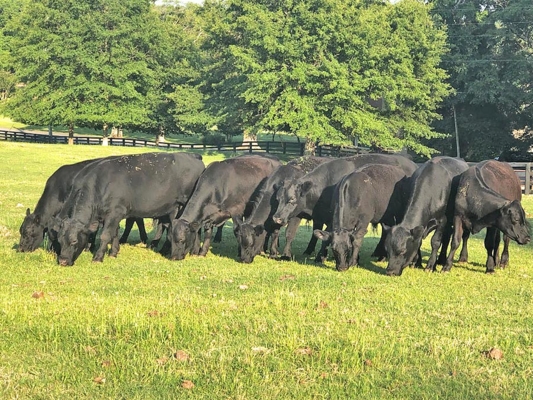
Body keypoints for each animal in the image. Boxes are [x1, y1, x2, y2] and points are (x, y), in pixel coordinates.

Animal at [54, 152, 204, 264]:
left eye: (74, 241)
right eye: (60, 241)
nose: (62, 261)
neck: (100, 185)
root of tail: (193, 155)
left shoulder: (115, 212)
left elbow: (105, 235)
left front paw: (98, 257)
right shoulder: (111, 216)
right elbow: (114, 233)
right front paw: (114, 252)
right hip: (173, 209)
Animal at [272, 153, 418, 262]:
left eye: (292, 199)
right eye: (278, 199)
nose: (276, 218)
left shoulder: (332, 219)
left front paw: (321, 257)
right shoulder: (299, 214)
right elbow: (290, 233)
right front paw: (286, 255)